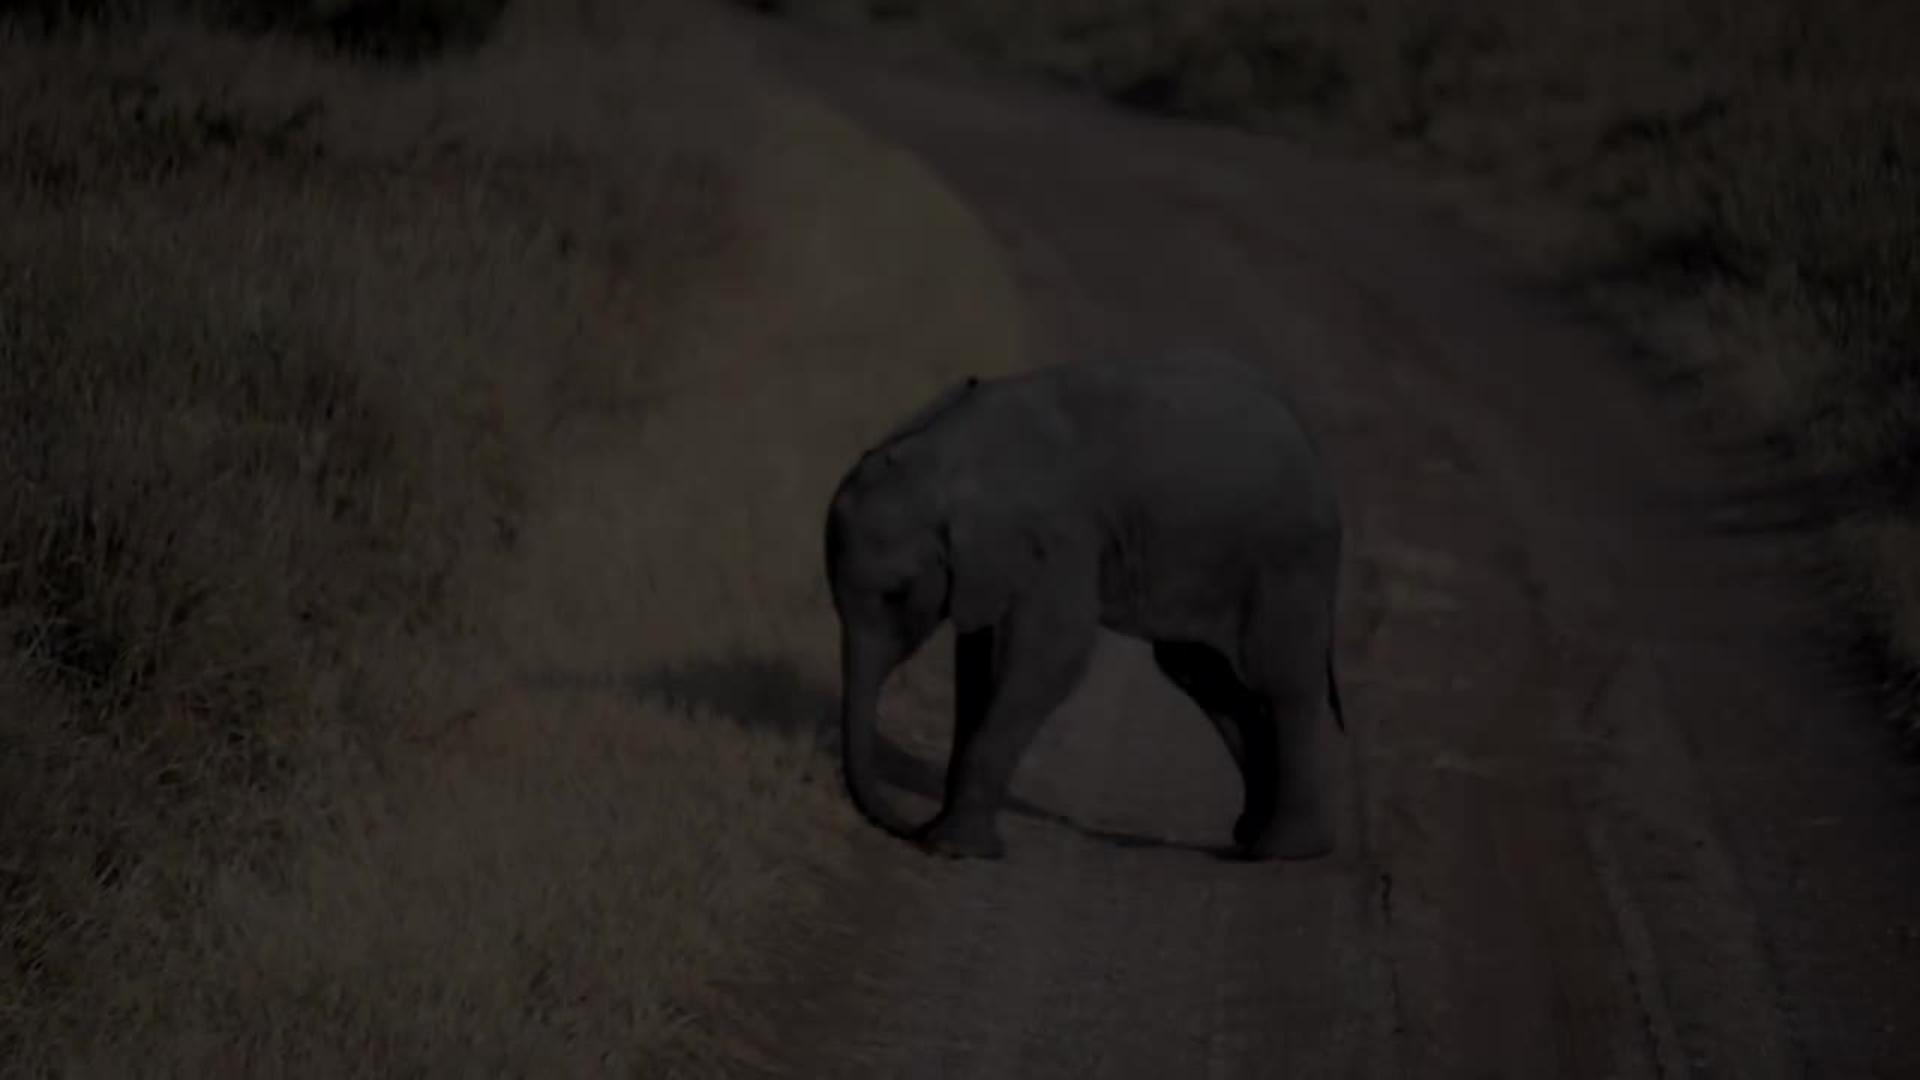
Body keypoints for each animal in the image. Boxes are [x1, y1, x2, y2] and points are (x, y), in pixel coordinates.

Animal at [823, 348, 1345, 861]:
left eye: (896, 594)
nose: (906, 826)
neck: (942, 455)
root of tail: (1310, 443)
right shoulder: (988, 562)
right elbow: (977, 670)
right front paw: (950, 833)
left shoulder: (1058, 538)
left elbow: (1048, 658)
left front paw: (954, 846)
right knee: (1204, 676)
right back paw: (1252, 834)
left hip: (1286, 560)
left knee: (1282, 681)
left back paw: (1284, 850)